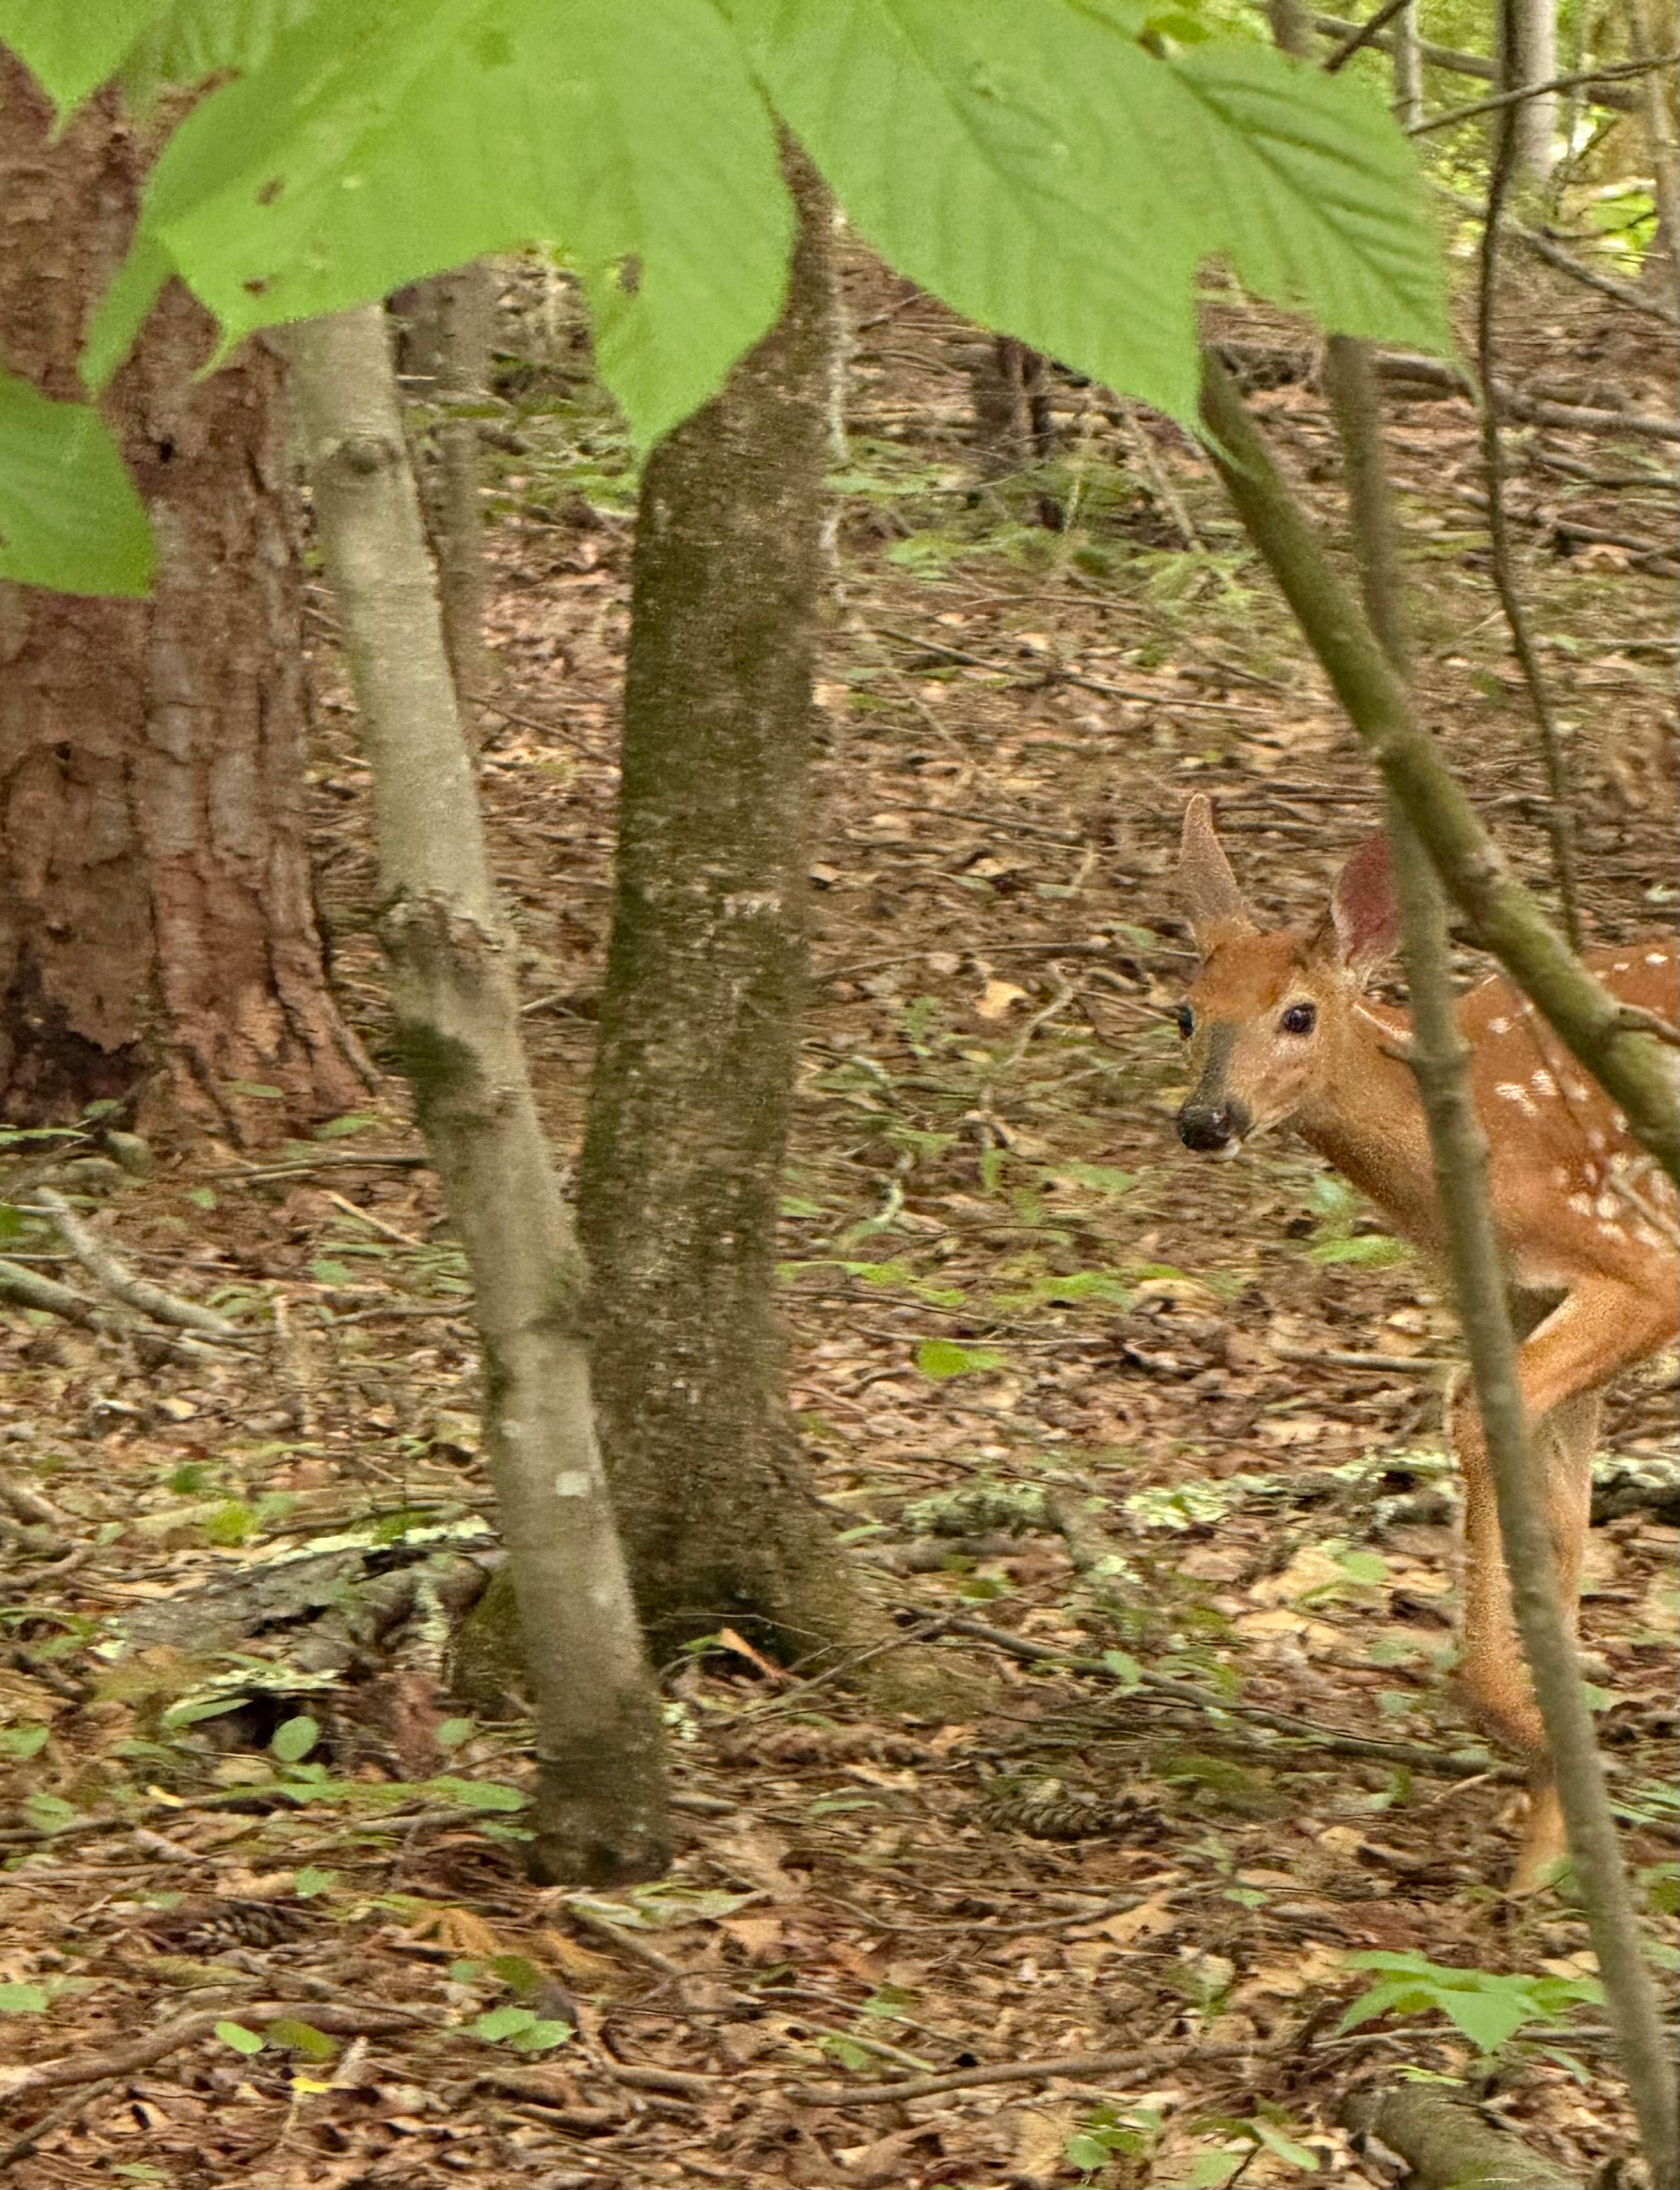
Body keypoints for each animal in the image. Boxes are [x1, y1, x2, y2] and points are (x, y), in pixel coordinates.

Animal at [1171, 793, 1679, 1889]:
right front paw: (1549, 1839)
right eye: (1184, 1012)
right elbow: (1566, 1521)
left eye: (1299, 1012)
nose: (1205, 1118)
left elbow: (1477, 1421)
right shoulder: (1516, 1296)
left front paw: (1526, 1739)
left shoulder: (1640, 1264)